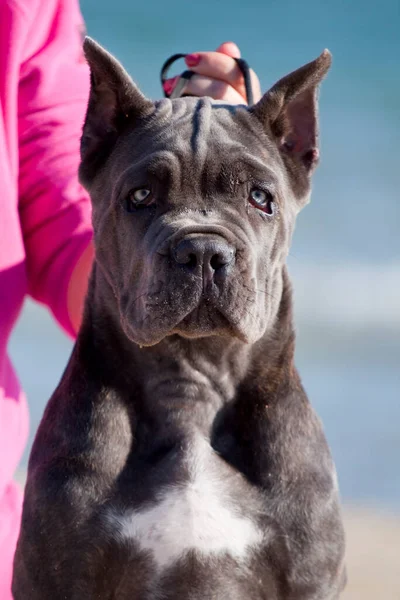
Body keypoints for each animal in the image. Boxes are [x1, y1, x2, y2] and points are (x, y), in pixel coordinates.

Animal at [12, 38, 346, 600]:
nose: (203, 251)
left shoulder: (310, 576)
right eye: (140, 196)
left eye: (262, 198)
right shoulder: (58, 573)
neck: (194, 373)